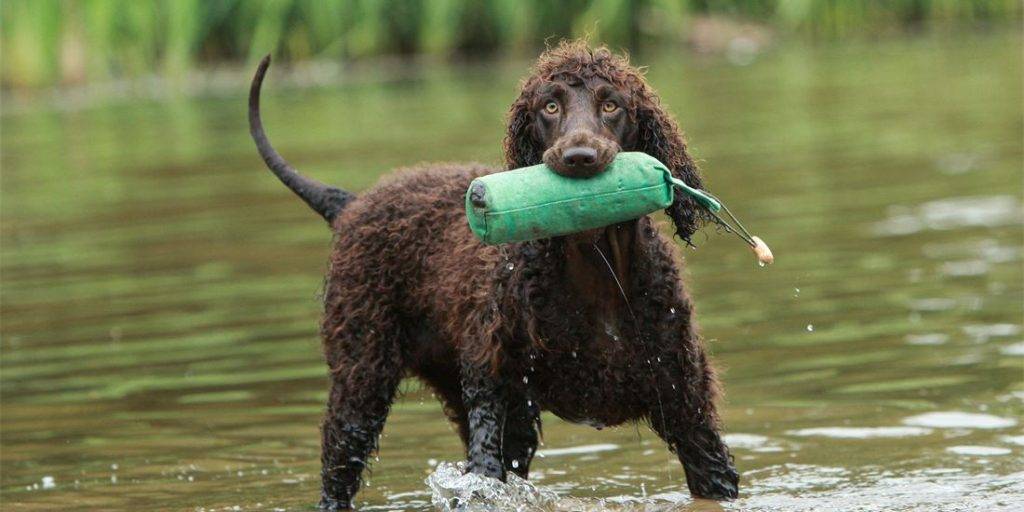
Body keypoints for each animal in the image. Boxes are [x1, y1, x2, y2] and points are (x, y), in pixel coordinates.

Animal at [251, 38, 741, 507]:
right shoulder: (493, 388)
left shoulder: (688, 409)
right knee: (340, 465)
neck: (595, 270)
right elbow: (484, 475)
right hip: (362, 377)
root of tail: (352, 204)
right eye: (550, 107)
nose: (580, 156)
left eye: (611, 105)